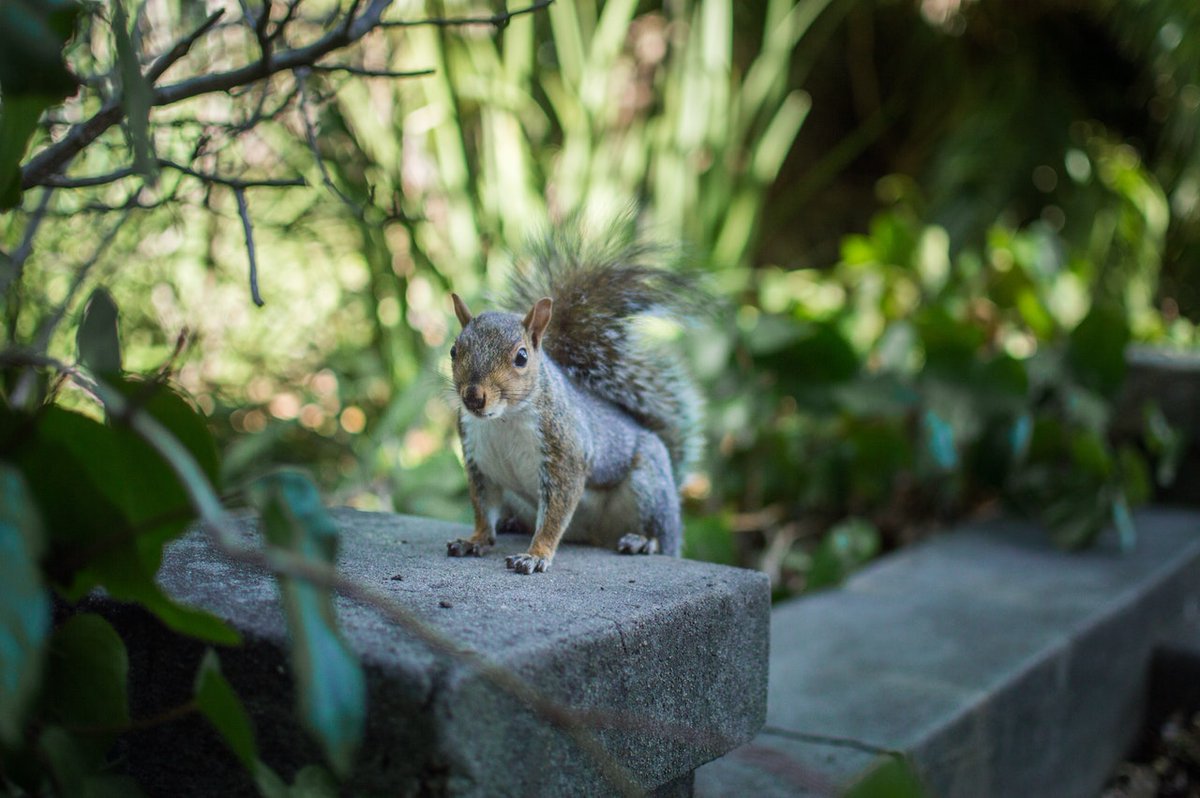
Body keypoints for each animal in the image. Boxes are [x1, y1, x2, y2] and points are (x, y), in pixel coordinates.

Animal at [444, 218, 705, 574]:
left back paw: (643, 541)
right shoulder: (479, 461)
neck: (505, 420)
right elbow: (483, 510)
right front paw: (475, 540)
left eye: (521, 357)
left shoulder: (565, 454)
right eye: (454, 351)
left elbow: (555, 514)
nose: (473, 397)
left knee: (659, 533)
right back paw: (513, 524)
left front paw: (536, 554)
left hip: (649, 485)